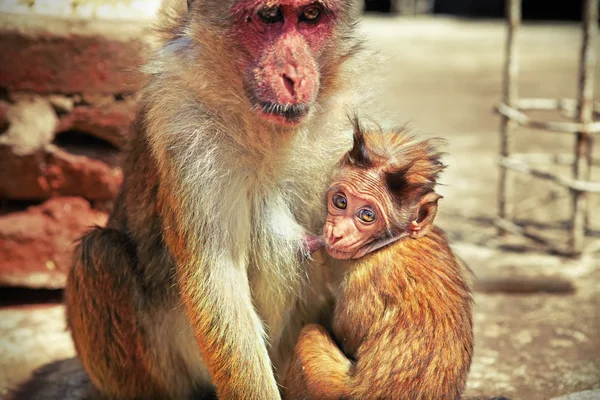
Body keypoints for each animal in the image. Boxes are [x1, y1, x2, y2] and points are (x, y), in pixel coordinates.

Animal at [58, 0, 360, 400]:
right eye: (270, 17)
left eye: (311, 16)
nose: (295, 76)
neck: (265, 130)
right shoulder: (186, 131)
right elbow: (217, 278)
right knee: (97, 254)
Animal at [288, 120, 474, 398]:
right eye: (340, 201)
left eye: (367, 215)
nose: (336, 233)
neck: (391, 243)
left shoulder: (364, 280)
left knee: (308, 335)